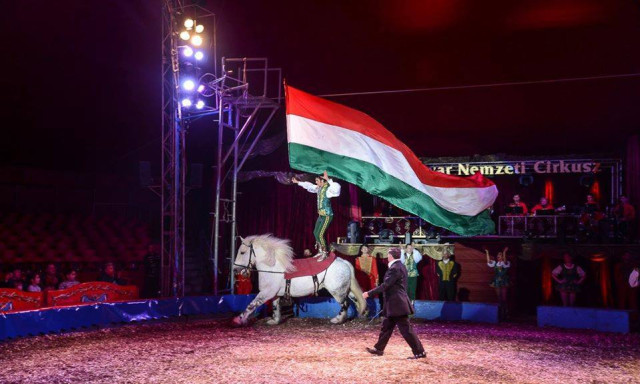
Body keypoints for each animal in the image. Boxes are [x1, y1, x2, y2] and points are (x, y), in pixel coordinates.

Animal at [234, 232, 364, 326]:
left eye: (242, 252)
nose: (235, 270)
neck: (272, 267)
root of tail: (344, 262)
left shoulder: (266, 293)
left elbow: (251, 305)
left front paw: (239, 320)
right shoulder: (275, 294)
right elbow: (276, 307)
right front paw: (275, 321)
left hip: (337, 291)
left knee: (345, 304)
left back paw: (337, 320)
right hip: (346, 289)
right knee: (357, 300)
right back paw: (363, 314)